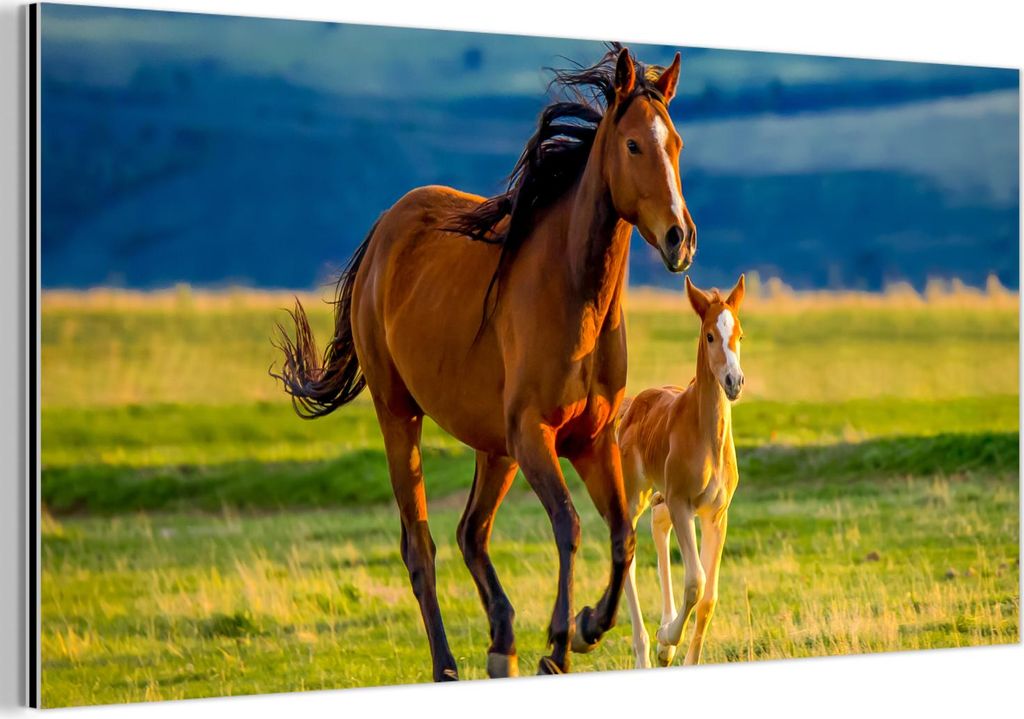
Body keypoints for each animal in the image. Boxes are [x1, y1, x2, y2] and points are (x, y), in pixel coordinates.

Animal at [271, 45, 697, 681]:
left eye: (676, 145)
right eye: (632, 146)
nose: (680, 240)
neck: (574, 294)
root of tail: (384, 233)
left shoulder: (591, 441)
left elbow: (622, 534)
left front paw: (588, 626)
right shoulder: (535, 437)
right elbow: (568, 525)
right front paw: (559, 644)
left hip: (494, 448)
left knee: (471, 532)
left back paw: (502, 644)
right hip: (402, 418)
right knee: (420, 546)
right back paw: (448, 664)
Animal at [616, 275, 745, 668]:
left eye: (740, 334)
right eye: (710, 335)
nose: (734, 382)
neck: (707, 436)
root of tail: (632, 405)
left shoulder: (716, 514)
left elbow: (709, 597)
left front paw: (677, 650)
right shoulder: (683, 504)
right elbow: (695, 582)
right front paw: (666, 638)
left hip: (662, 498)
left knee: (659, 527)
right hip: (636, 496)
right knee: (627, 550)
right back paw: (647, 649)